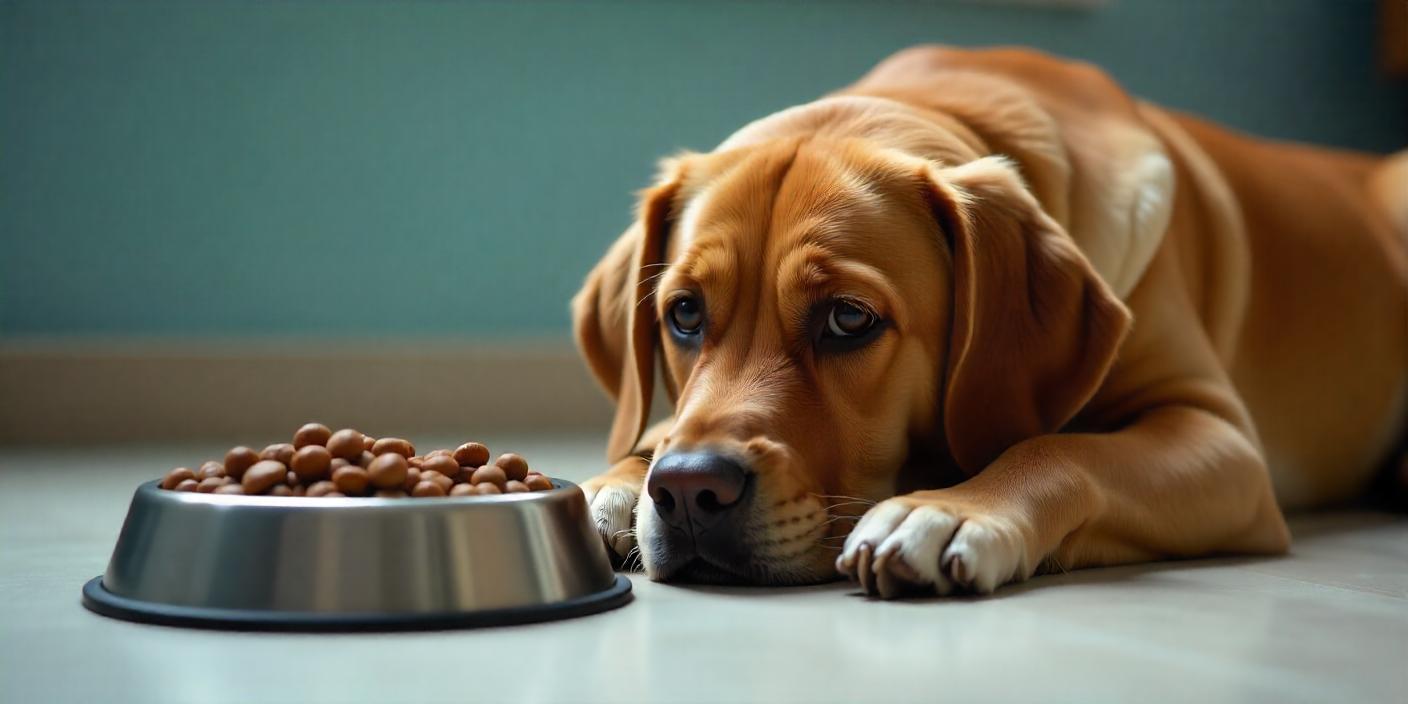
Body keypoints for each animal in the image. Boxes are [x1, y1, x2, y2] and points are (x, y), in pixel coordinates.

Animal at [568, 45, 1408, 594]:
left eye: (848, 319)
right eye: (683, 313)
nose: (689, 493)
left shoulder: (1220, 438)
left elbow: (1060, 447)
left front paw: (951, 509)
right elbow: (656, 431)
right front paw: (614, 485)